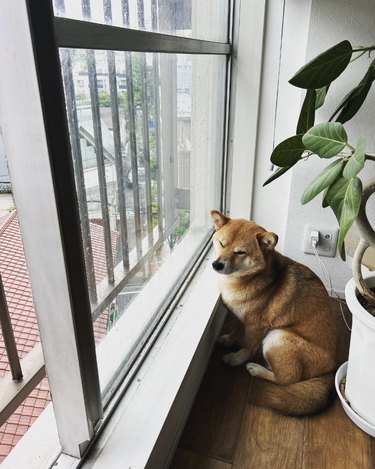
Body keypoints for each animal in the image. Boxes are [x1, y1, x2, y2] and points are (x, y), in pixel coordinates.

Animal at [212, 210, 338, 414]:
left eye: (240, 252)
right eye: (221, 244)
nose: (217, 265)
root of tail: (330, 371)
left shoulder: (256, 326)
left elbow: (248, 347)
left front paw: (236, 358)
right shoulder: (243, 317)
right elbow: (237, 329)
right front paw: (230, 339)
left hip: (277, 337)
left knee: (285, 379)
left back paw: (256, 369)